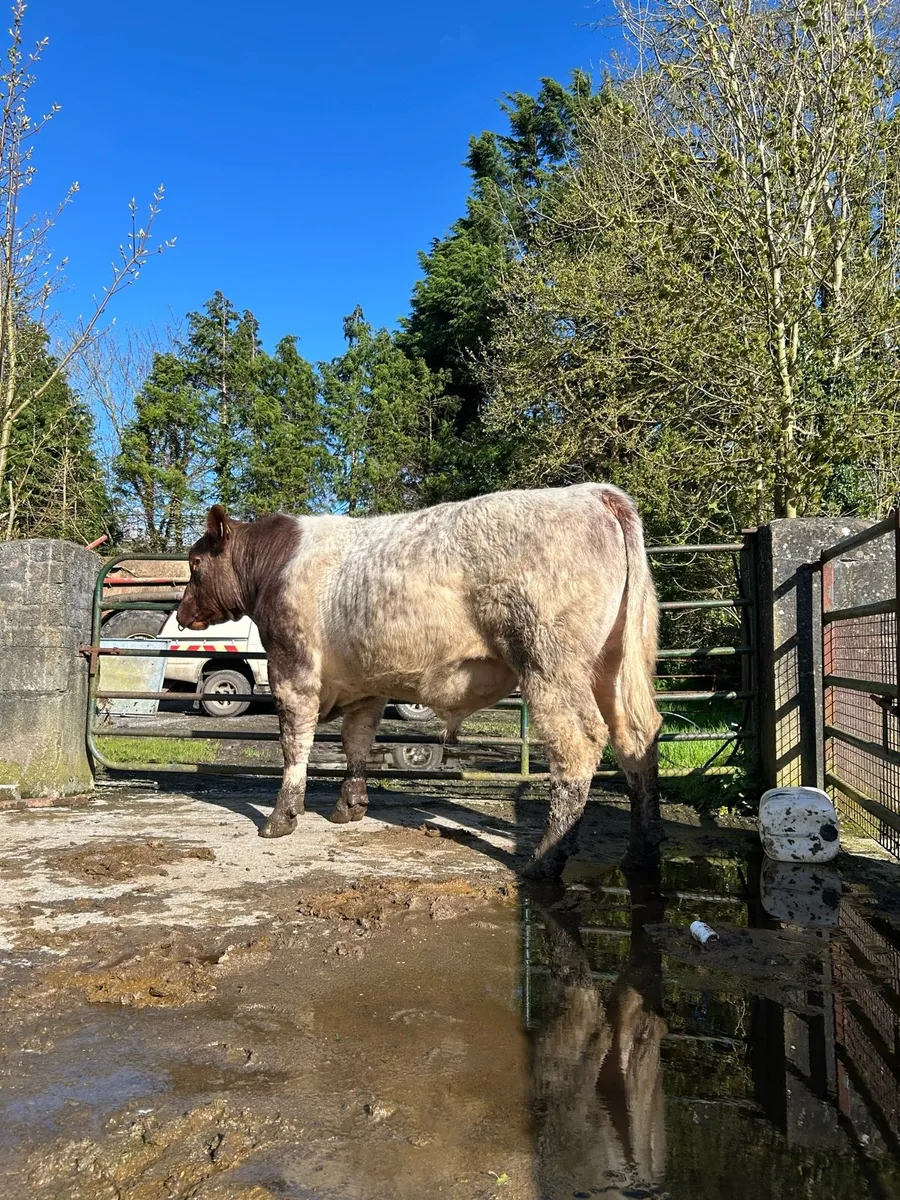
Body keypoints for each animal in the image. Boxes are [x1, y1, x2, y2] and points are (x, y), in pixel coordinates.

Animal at [175, 483, 663, 878]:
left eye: (195, 562)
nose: (181, 614)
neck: (275, 565)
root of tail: (593, 493)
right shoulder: (366, 684)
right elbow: (357, 741)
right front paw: (350, 805)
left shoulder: (291, 669)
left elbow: (295, 743)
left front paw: (281, 817)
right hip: (613, 664)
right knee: (636, 736)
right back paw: (640, 855)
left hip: (549, 658)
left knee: (579, 742)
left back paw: (543, 861)